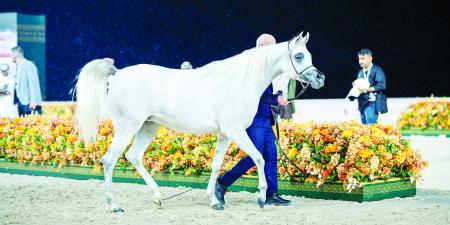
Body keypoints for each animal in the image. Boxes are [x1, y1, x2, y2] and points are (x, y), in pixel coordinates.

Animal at [76, 32, 324, 212]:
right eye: (299, 56)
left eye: (309, 54)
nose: (320, 78)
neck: (240, 81)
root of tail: (117, 74)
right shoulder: (236, 131)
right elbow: (260, 158)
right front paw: (262, 198)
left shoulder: (224, 134)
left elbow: (216, 165)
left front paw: (215, 201)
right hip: (128, 126)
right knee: (109, 160)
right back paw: (114, 205)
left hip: (148, 126)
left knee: (133, 156)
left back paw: (158, 197)